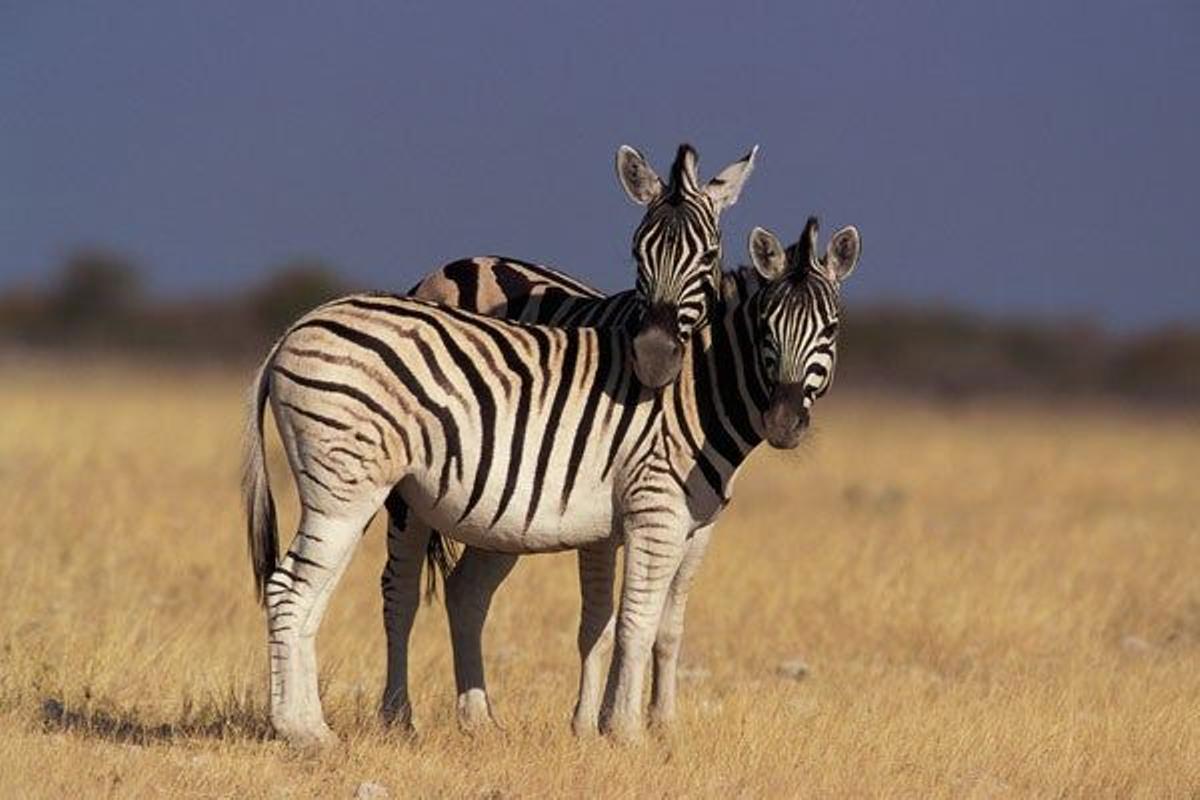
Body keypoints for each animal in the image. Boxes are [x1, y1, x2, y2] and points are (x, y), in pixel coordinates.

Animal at [246, 214, 864, 743]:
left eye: (831, 329)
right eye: (766, 329)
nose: (783, 422)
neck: (697, 393)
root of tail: (290, 332)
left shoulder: (691, 526)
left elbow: (662, 627)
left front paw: (652, 728)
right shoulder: (655, 512)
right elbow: (634, 624)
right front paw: (627, 733)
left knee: (341, 596)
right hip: (360, 492)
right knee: (319, 591)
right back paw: (322, 730)